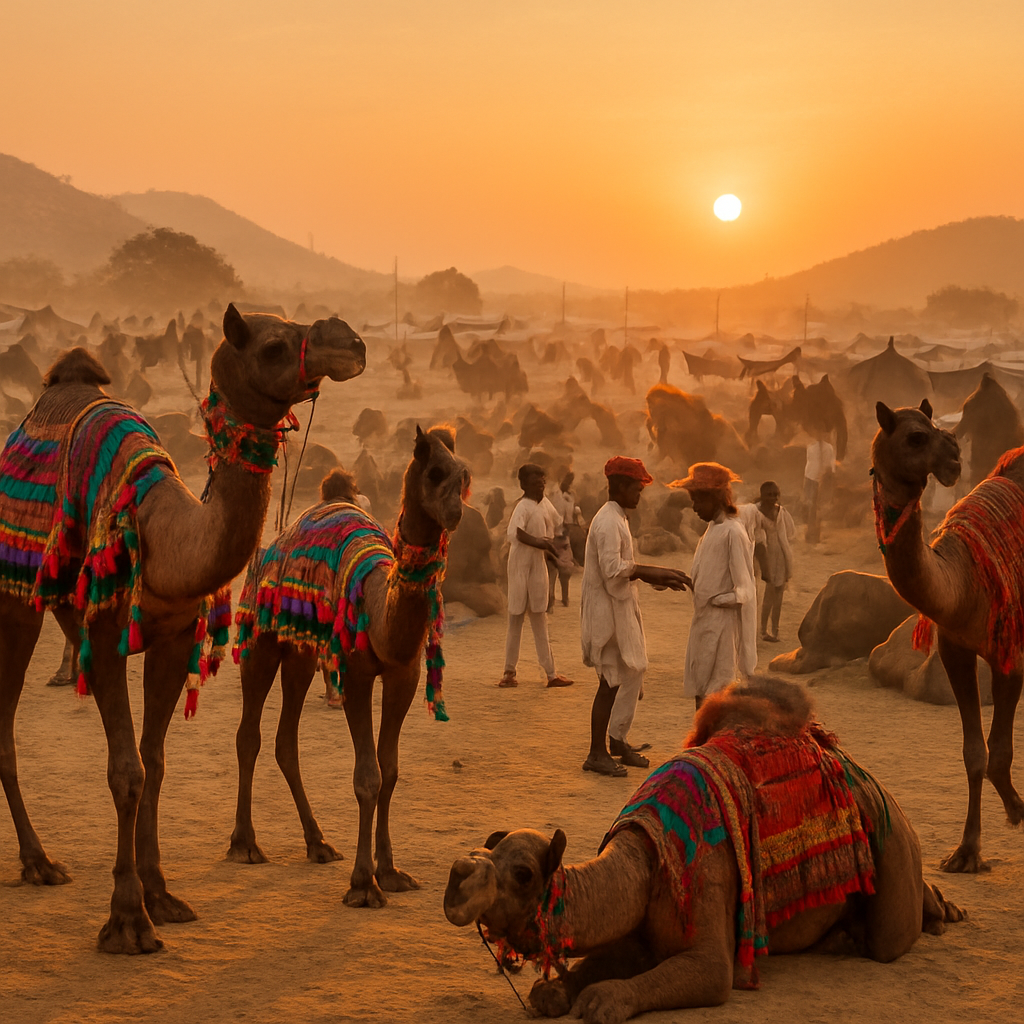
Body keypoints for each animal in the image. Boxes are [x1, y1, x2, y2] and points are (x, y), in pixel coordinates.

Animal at [0, 305, 366, 953]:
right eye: (275, 346)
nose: (351, 343)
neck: (164, 536)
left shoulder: (173, 639)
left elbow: (155, 761)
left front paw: (161, 895)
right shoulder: (107, 632)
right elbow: (126, 770)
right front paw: (127, 920)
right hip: (14, 596)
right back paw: (38, 862)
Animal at [228, 427, 469, 908]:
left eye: (464, 474)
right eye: (435, 472)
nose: (455, 512)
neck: (379, 604)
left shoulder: (404, 675)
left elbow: (390, 771)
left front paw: (390, 872)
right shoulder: (356, 675)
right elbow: (367, 777)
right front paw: (363, 884)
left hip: (300, 653)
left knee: (286, 741)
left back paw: (318, 842)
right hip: (260, 638)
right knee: (250, 735)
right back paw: (245, 844)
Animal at [444, 678, 962, 1022]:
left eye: (523, 873)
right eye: (489, 853)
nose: (458, 875)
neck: (649, 857)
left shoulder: (709, 882)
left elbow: (705, 972)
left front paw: (601, 999)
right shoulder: (639, 927)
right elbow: (588, 968)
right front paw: (553, 992)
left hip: (889, 837)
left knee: (890, 938)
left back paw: (941, 911)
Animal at [871, 399, 1024, 872]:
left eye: (945, 431)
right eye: (916, 436)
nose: (954, 458)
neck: (962, 580)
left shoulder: (1010, 651)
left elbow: (1000, 753)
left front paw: (1018, 810)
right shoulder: (955, 646)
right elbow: (975, 754)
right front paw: (967, 851)